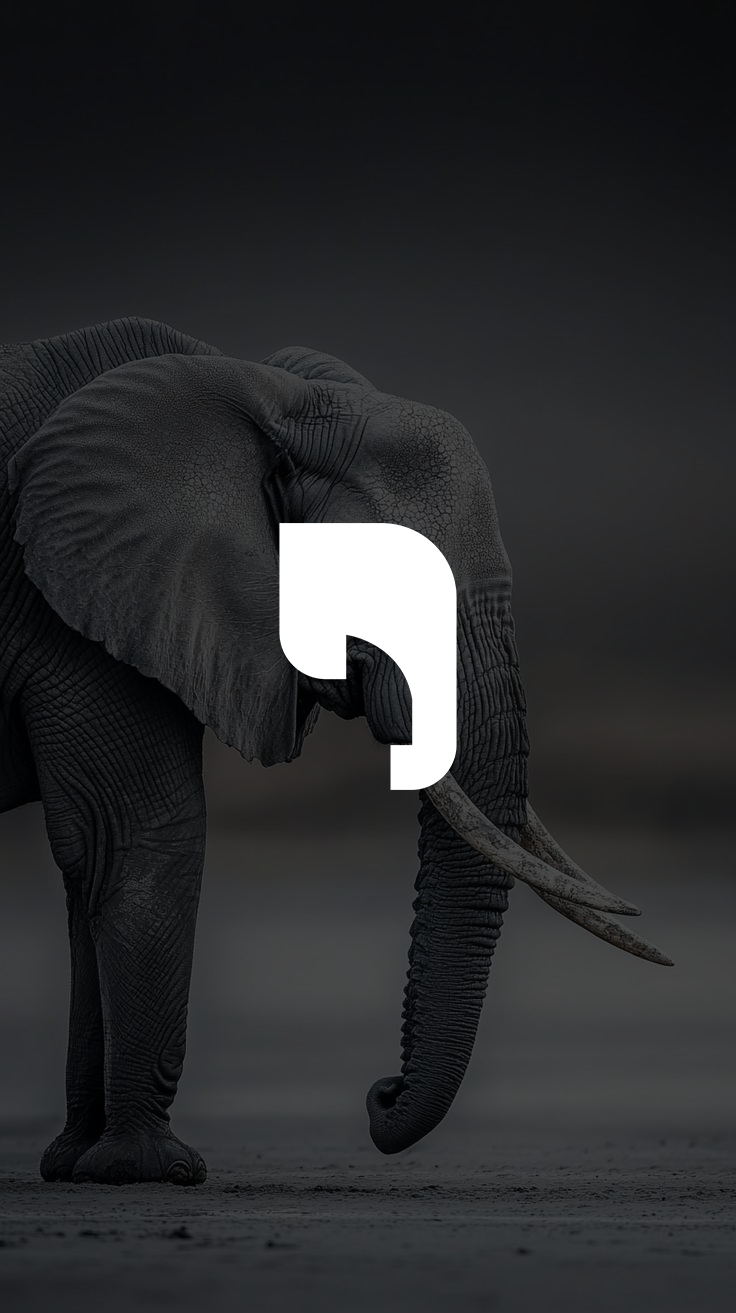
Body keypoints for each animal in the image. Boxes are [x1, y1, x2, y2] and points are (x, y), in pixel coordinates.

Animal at [0, 316, 672, 1185]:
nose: (381, 1095)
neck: (269, 401)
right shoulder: (70, 595)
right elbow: (140, 836)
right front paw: (152, 1169)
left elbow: (96, 859)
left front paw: (79, 1164)